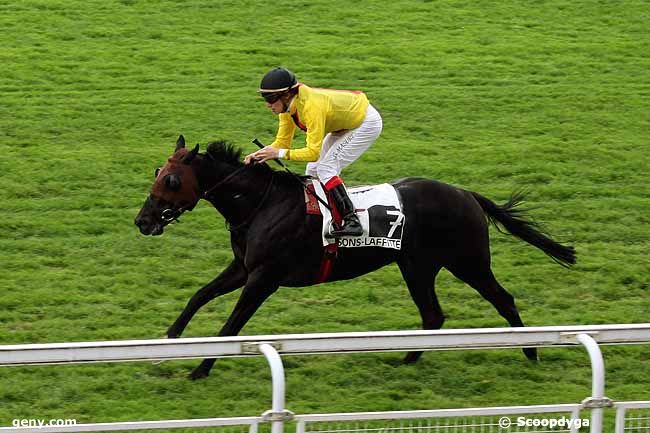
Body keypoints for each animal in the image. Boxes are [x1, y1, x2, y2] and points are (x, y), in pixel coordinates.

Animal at [134, 135, 576, 378]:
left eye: (171, 179)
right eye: (157, 171)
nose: (143, 221)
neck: (261, 205)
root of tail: (466, 193)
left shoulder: (264, 278)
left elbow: (231, 326)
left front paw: (200, 368)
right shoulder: (243, 268)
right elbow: (199, 296)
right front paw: (167, 343)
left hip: (467, 261)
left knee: (503, 299)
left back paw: (531, 352)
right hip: (417, 266)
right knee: (433, 315)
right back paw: (409, 360)